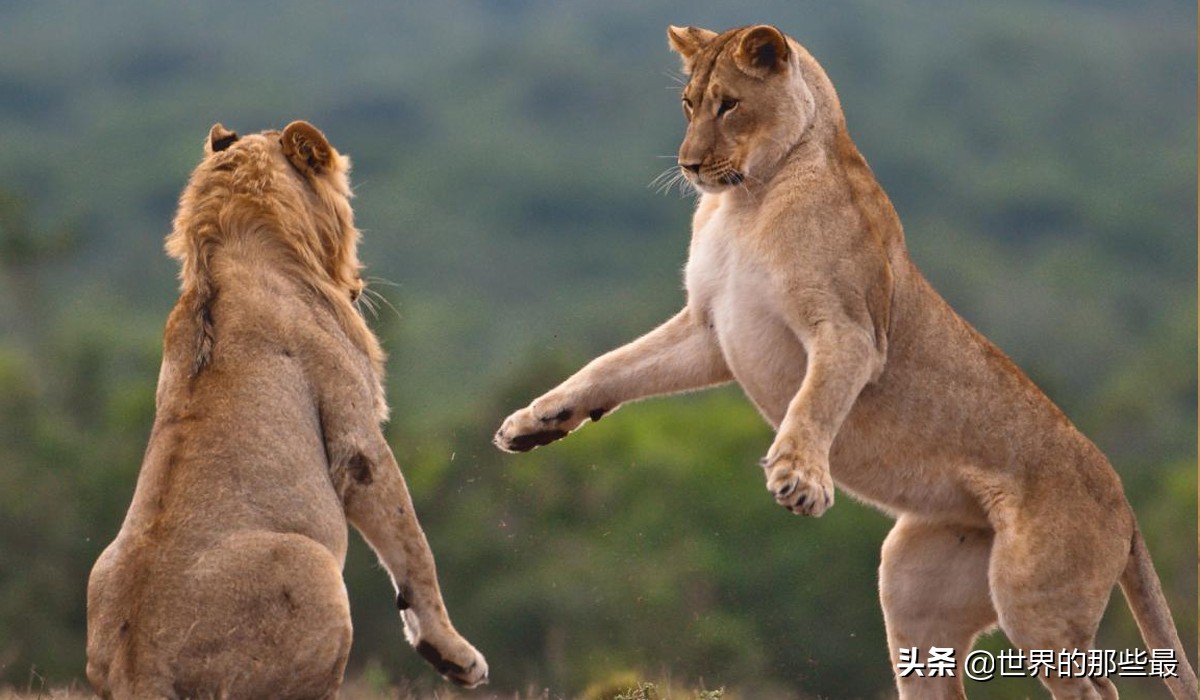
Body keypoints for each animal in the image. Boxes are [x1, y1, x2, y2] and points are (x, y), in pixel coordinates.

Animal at [84, 121, 489, 700]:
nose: (358, 282)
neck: (228, 246)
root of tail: (140, 667)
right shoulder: (357, 434)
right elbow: (413, 546)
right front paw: (454, 654)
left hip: (102, 565)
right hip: (311, 562)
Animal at [492, 24, 1195, 696]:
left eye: (729, 105)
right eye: (688, 104)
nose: (688, 165)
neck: (746, 200)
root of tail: (1125, 504)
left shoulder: (850, 330)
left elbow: (816, 400)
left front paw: (800, 479)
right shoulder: (710, 332)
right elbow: (612, 366)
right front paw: (535, 421)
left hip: (1035, 600)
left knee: (1096, 683)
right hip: (914, 585)